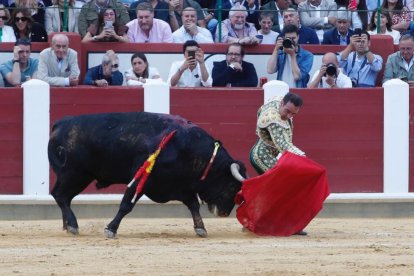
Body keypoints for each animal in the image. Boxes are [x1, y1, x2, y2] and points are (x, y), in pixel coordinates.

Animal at [49, 111, 247, 237]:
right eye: (231, 185)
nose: (224, 213)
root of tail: (61, 123)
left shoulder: (182, 186)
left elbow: (193, 205)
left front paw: (200, 228)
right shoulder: (141, 179)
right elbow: (126, 205)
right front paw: (111, 229)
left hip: (80, 176)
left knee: (65, 197)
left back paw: (68, 226)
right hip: (73, 174)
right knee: (59, 195)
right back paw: (72, 225)